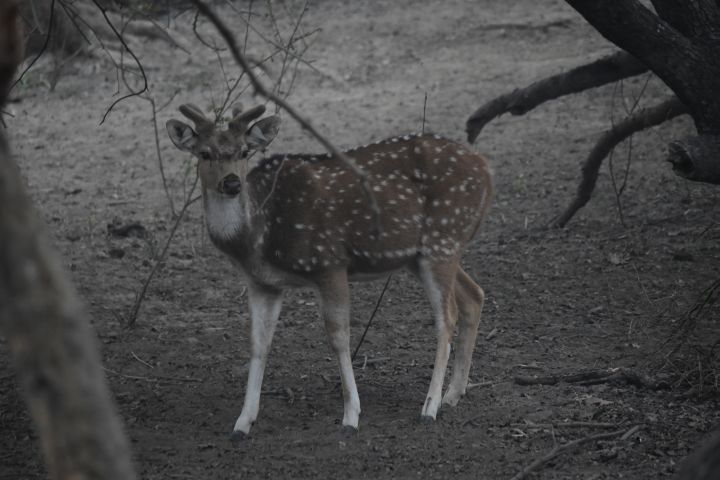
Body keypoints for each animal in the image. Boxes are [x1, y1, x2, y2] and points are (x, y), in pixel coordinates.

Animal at [167, 104, 496, 438]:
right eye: (205, 153)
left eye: (244, 151)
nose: (232, 183)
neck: (259, 237)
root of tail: (486, 168)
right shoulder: (263, 283)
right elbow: (258, 344)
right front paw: (243, 422)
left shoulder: (330, 263)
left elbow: (339, 337)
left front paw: (351, 415)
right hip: (421, 255)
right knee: (475, 295)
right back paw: (452, 395)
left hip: (442, 238)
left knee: (447, 316)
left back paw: (429, 407)